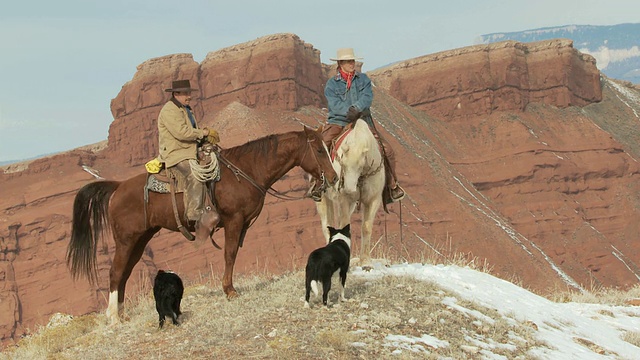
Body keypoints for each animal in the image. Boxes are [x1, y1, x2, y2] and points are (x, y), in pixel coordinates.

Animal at [69, 126, 340, 324]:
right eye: (318, 149)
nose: (334, 177)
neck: (246, 170)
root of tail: (117, 188)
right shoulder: (234, 220)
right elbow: (230, 254)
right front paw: (229, 290)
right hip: (126, 239)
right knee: (115, 272)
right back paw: (114, 317)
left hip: (140, 239)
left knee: (124, 272)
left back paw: (122, 313)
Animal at [316, 119, 384, 264]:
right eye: (342, 163)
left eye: (360, 165)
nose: (348, 189)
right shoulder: (344, 200)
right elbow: (344, 225)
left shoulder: (373, 199)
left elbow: (367, 227)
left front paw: (365, 261)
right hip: (323, 199)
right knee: (326, 225)